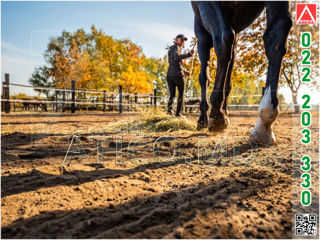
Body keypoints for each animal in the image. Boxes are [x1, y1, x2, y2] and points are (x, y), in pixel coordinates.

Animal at [192, 0, 292, 144]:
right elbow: (226, 76)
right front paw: (222, 112)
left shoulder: (202, 35)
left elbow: (206, 77)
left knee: (224, 37)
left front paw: (210, 117)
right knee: (277, 31)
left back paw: (217, 116)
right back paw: (264, 123)